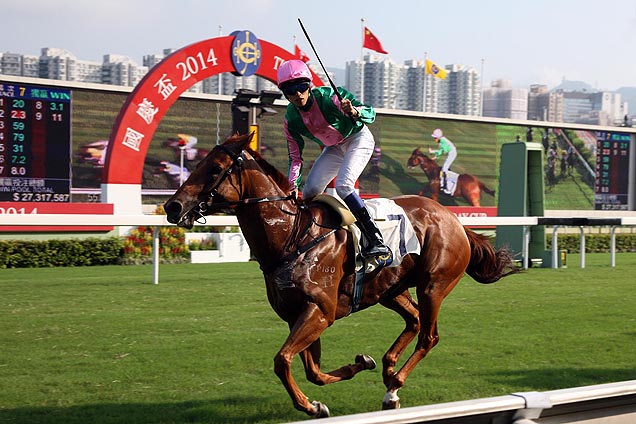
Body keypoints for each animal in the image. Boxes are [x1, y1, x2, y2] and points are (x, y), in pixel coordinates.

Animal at [161, 134, 520, 420]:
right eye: (199, 162)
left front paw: (309, 405)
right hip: (391, 289)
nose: (172, 207)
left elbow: (282, 361)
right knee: (415, 320)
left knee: (428, 335)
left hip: (434, 284)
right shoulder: (297, 315)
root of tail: (453, 220)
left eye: (214, 168)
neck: (293, 236)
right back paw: (388, 369)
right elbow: (312, 370)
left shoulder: (320, 311)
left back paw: (394, 386)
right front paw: (356, 369)